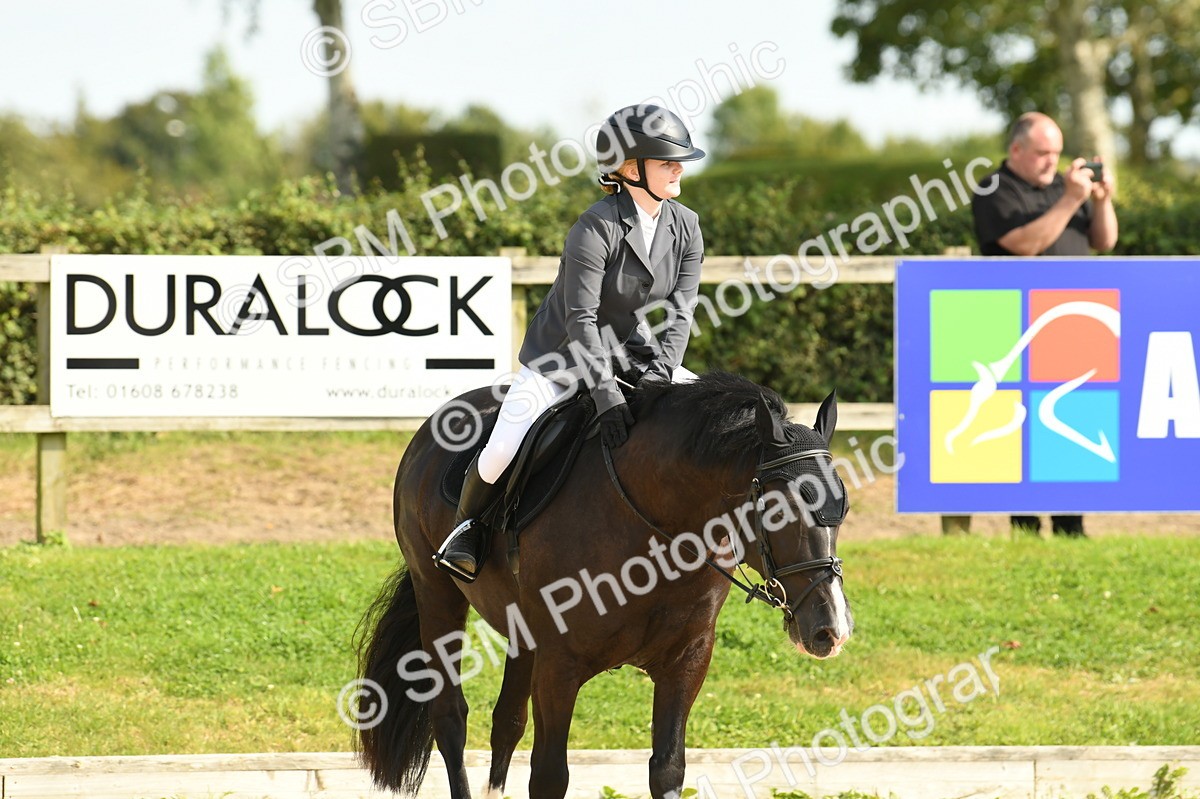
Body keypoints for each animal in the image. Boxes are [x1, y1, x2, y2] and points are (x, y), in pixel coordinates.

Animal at [356, 371, 855, 799]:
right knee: (450, 718)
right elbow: (550, 776)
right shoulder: (560, 665)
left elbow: (667, 769)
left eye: (842, 507)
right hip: (436, 593)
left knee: (507, 721)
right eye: (780, 508)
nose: (830, 629)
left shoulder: (686, 662)